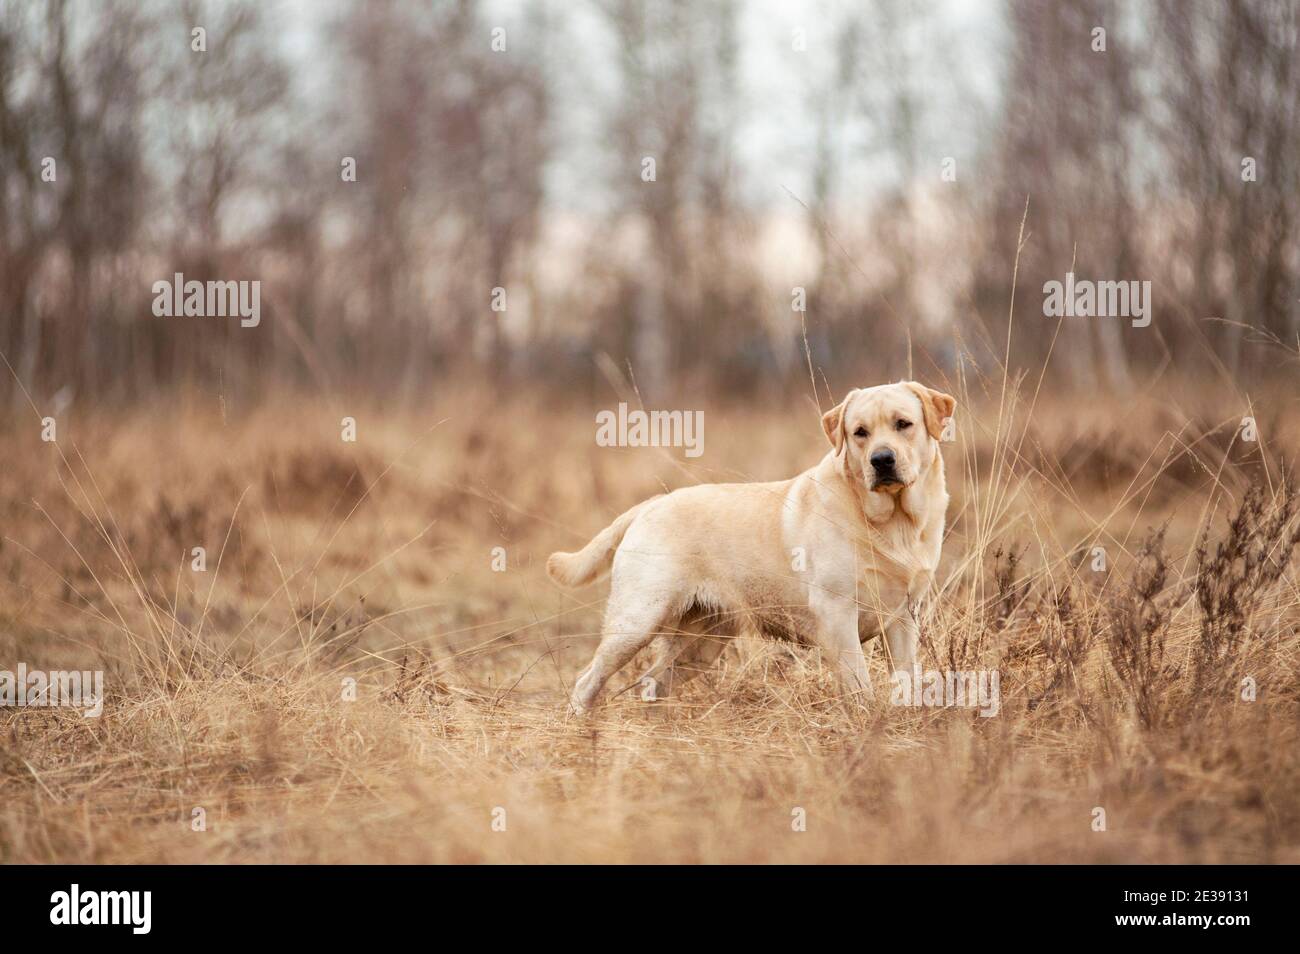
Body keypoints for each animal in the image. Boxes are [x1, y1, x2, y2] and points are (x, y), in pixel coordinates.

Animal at [548, 379, 956, 712]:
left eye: (903, 424)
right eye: (860, 432)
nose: (882, 459)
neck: (893, 522)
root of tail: (650, 504)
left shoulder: (903, 617)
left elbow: (905, 678)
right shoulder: (837, 614)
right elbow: (858, 685)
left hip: (701, 643)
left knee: (652, 683)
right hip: (636, 621)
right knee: (588, 681)